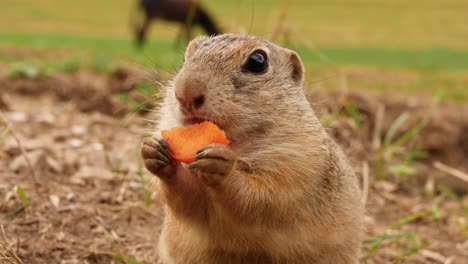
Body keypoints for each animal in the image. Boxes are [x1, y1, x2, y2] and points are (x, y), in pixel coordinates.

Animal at [141, 34, 364, 262]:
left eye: (258, 61)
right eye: (186, 57)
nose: (185, 92)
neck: (235, 143)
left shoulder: (296, 162)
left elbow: (262, 198)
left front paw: (223, 165)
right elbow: (189, 201)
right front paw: (153, 150)